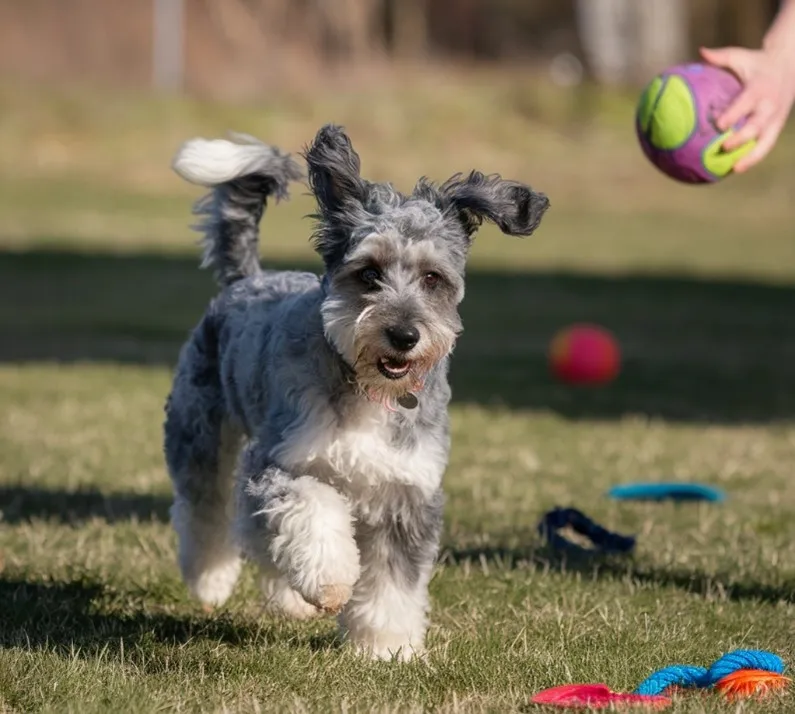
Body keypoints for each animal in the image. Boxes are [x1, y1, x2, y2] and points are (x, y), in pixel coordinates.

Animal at [162, 121, 548, 656]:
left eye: (433, 278)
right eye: (368, 273)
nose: (404, 335)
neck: (366, 390)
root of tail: (247, 278)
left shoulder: (406, 492)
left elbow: (392, 582)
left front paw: (386, 646)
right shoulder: (280, 465)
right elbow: (312, 514)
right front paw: (330, 580)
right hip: (199, 433)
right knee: (208, 511)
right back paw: (211, 581)